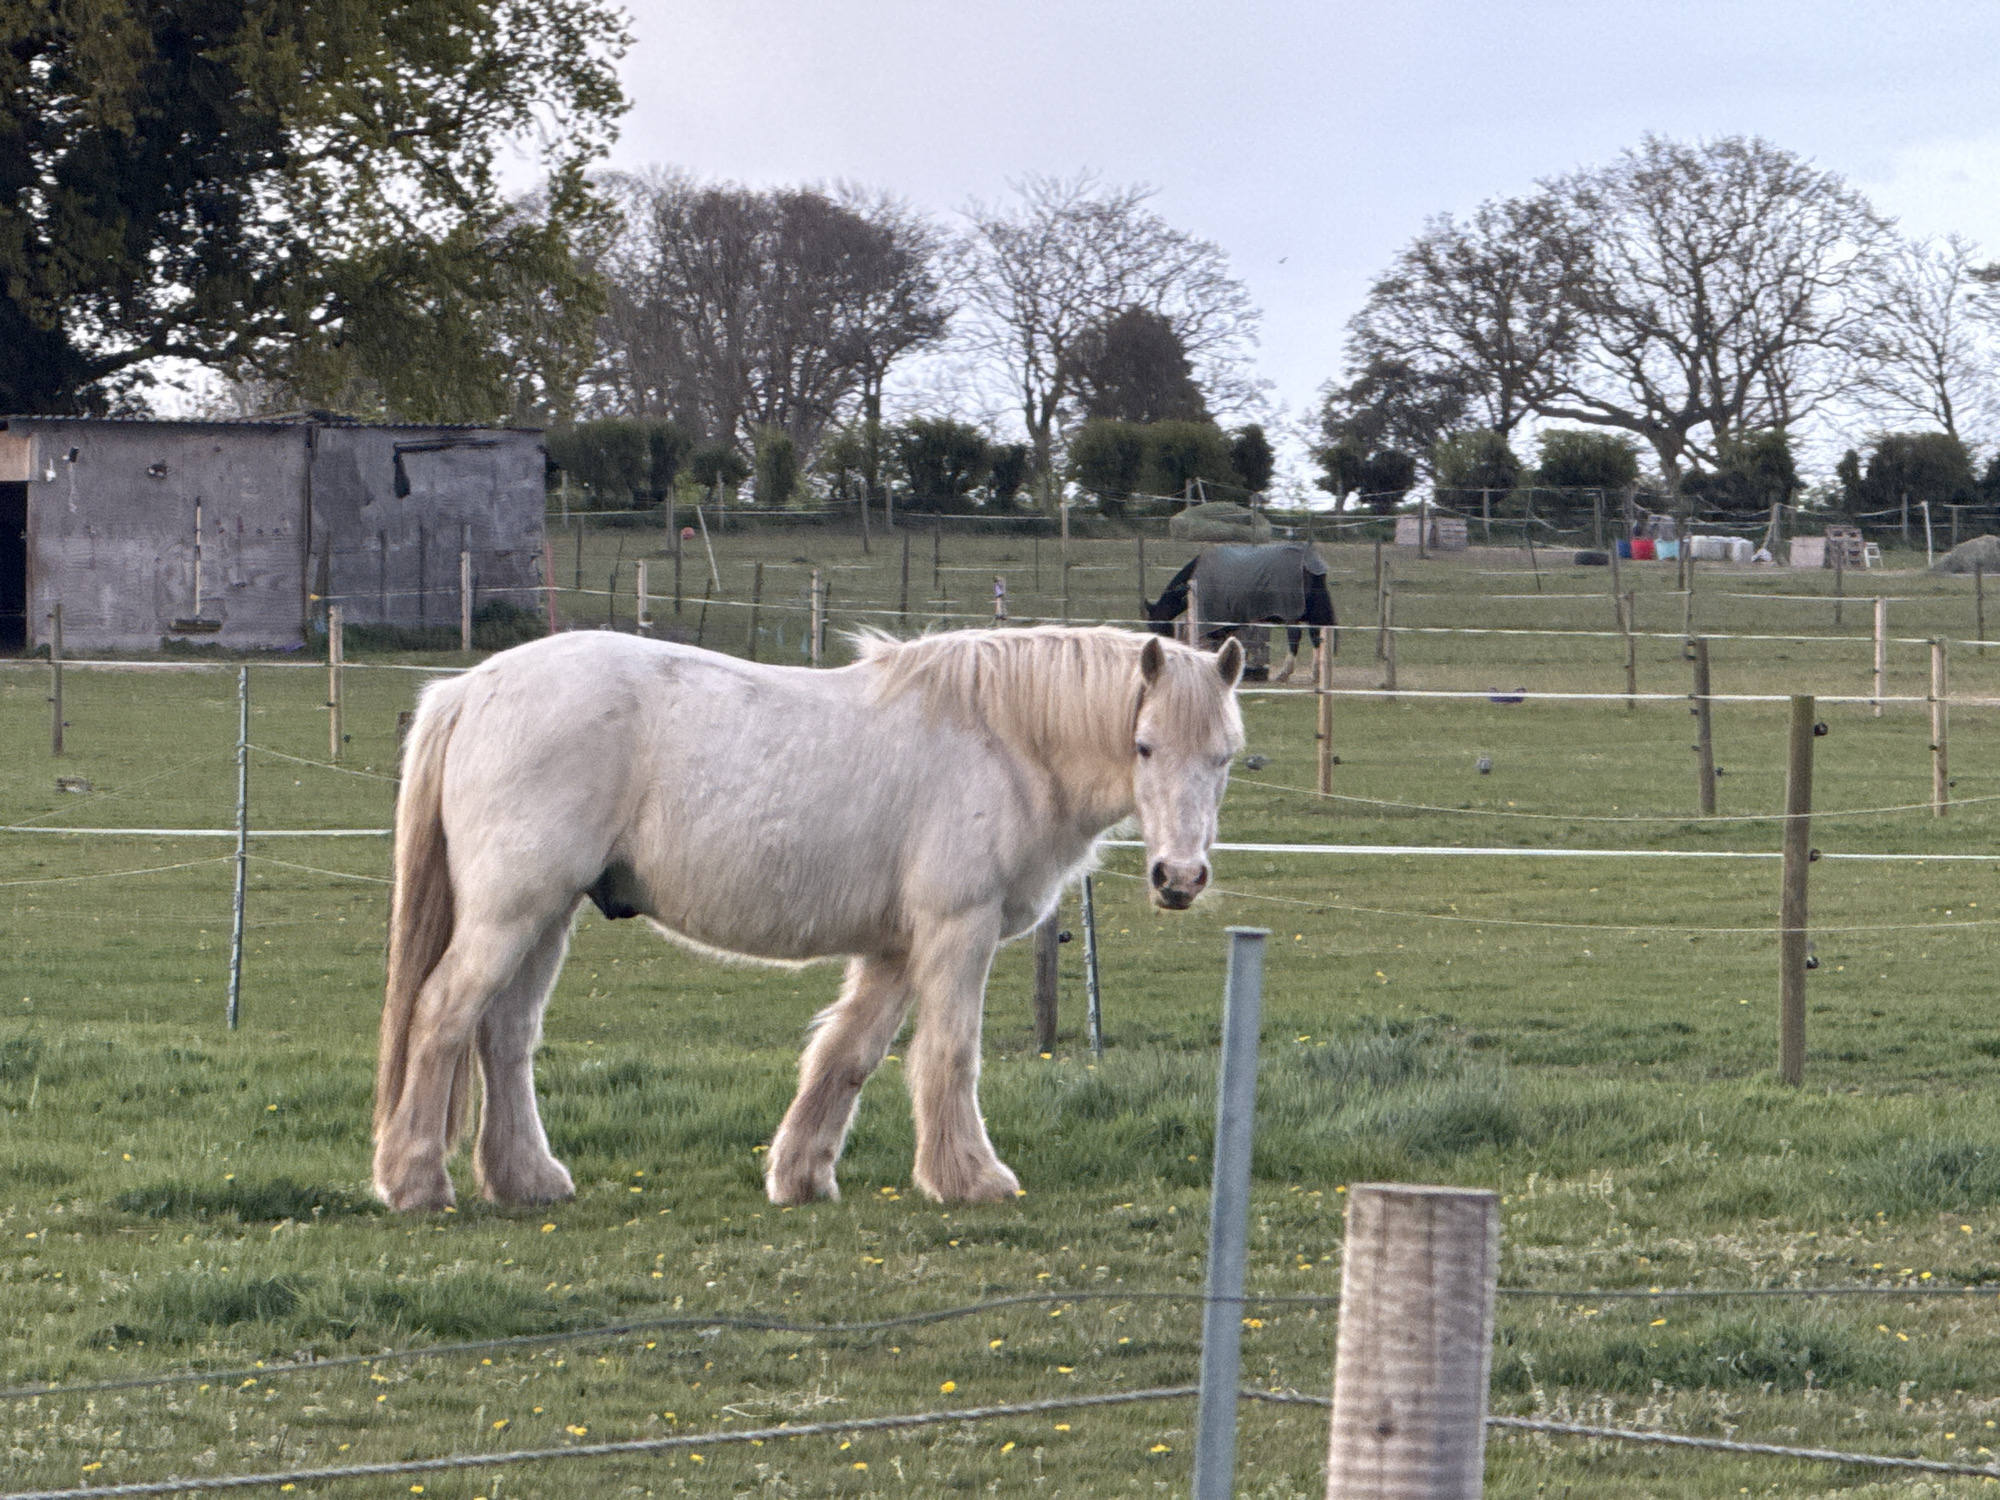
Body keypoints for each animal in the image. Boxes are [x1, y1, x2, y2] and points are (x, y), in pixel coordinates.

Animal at [371, 625, 1245, 1212]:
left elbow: (848, 1055)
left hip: (546, 917)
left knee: (504, 1035)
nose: (1179, 878)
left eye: (1225, 756)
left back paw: (527, 1180)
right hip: (512, 913)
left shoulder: (897, 949)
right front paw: (971, 1179)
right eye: (1143, 745)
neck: (1002, 740)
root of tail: (468, 690)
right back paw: (415, 1181)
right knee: (443, 1015)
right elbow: (949, 1055)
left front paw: (800, 1175)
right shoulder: (956, 929)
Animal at [1147, 541, 1336, 683]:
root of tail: (1308, 560)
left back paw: (1285, 673)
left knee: (1295, 636)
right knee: (1316, 636)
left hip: (1291, 614)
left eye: (1154, 624)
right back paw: (1316, 674)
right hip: (1313, 612)